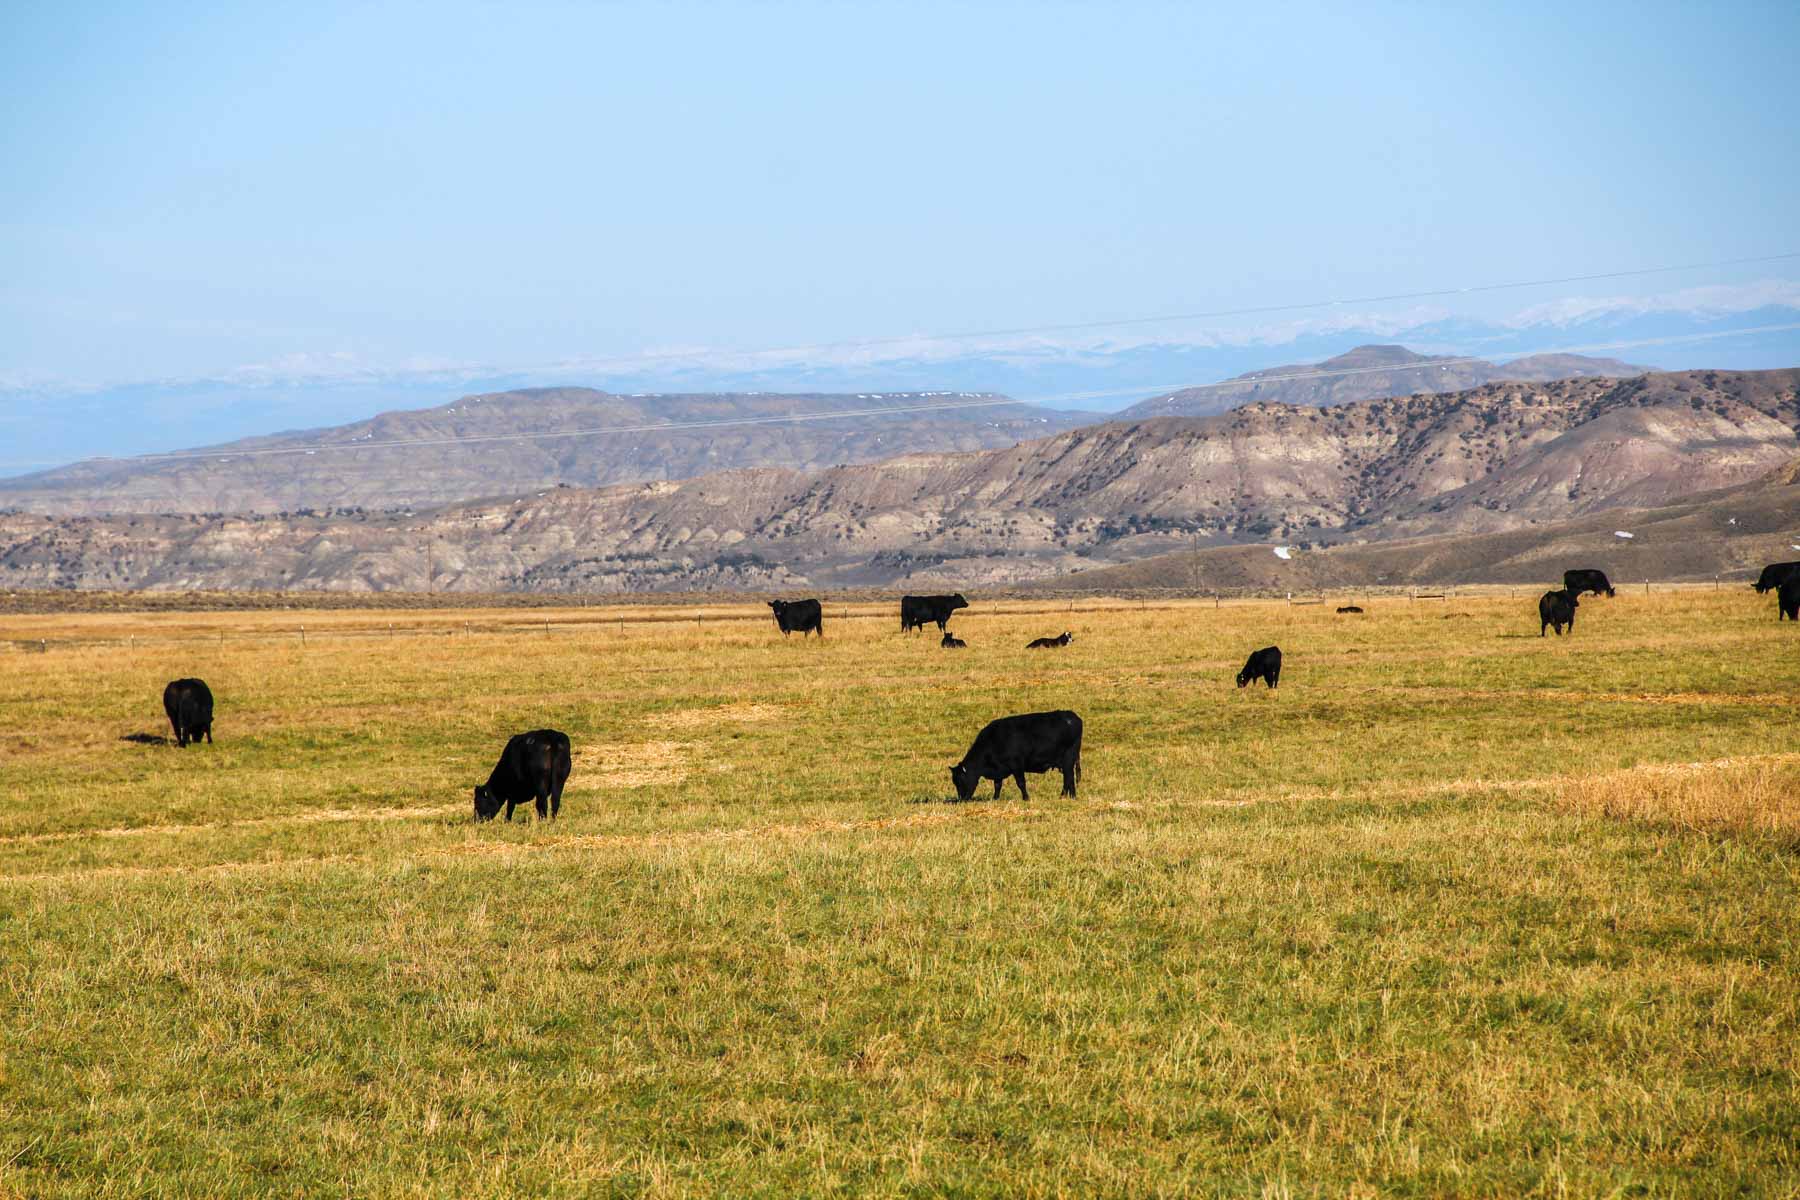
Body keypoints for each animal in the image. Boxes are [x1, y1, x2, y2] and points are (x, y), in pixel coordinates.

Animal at [950, 710, 1082, 803]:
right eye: (954, 782)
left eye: (961, 780)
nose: (961, 799)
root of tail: (1072, 716)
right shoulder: (999, 769)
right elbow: (997, 785)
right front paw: (995, 798)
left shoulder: (1017, 765)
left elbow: (1021, 783)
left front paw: (1026, 798)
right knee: (1068, 778)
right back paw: (1068, 796)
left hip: (1068, 758)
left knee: (1069, 777)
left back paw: (1068, 796)